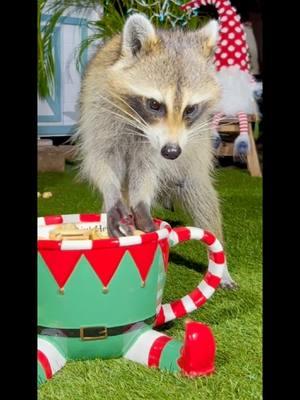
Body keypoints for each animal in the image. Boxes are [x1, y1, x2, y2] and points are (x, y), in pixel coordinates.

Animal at [75, 13, 237, 288]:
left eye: (190, 109)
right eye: (154, 105)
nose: (172, 152)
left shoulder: (158, 145)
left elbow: (147, 167)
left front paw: (141, 199)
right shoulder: (99, 111)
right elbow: (100, 159)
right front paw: (112, 193)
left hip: (195, 153)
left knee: (199, 193)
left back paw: (220, 262)